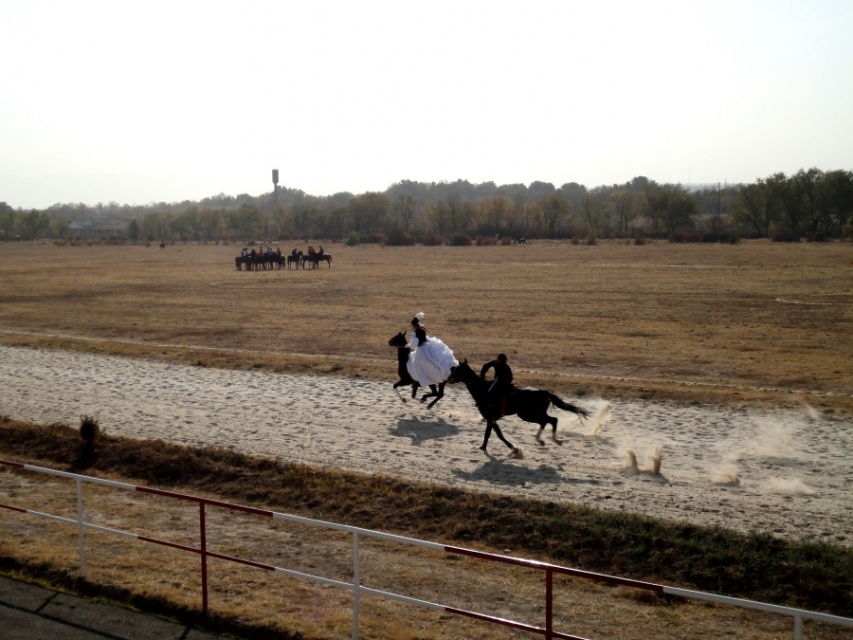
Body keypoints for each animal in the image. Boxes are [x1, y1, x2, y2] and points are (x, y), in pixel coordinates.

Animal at [450, 360, 588, 456]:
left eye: (457, 370)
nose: (449, 378)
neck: (483, 391)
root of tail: (544, 393)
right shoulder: (490, 418)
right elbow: (487, 434)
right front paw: (483, 447)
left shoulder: (491, 417)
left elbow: (499, 434)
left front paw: (514, 449)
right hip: (534, 413)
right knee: (551, 420)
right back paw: (549, 440)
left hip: (527, 415)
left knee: (548, 420)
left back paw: (547, 440)